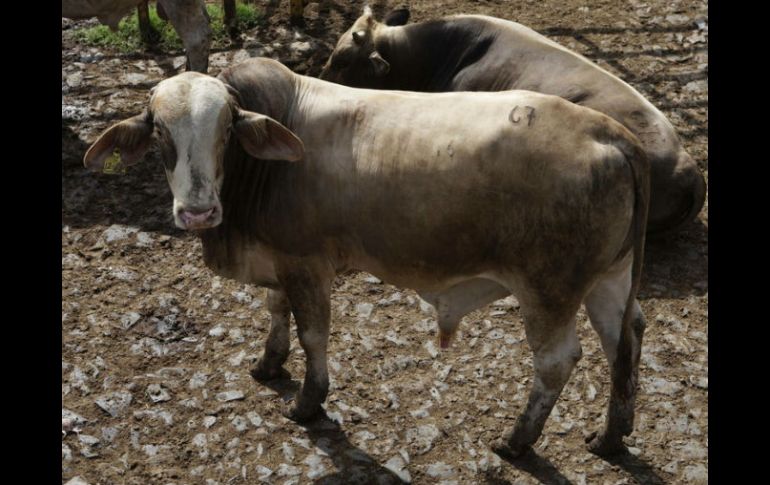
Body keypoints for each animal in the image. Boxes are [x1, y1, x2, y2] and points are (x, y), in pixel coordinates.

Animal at [84, 58, 648, 456]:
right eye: (160, 131)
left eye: (226, 130)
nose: (198, 211)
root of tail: (609, 132)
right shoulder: (276, 262)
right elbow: (275, 313)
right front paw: (268, 364)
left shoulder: (307, 265)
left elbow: (313, 335)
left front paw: (307, 403)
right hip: (610, 279)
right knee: (625, 337)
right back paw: (611, 435)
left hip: (549, 290)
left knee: (557, 361)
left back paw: (517, 441)